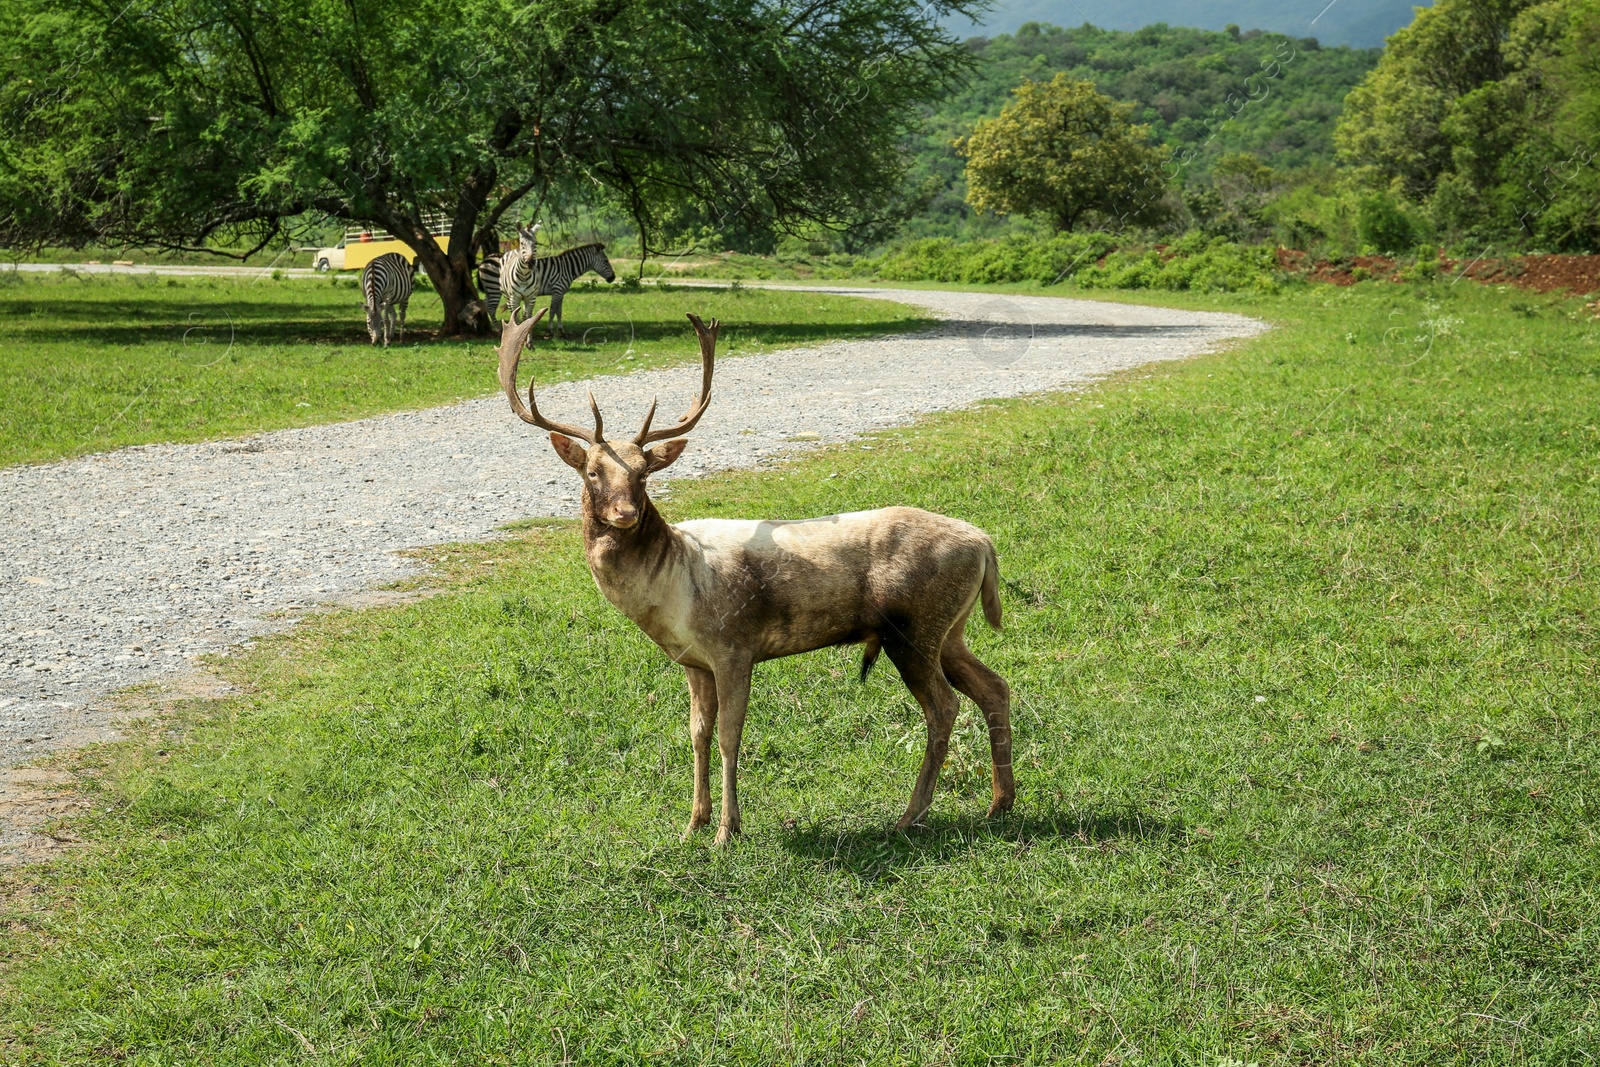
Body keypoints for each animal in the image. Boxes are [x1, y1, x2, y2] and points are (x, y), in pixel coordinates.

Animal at [473, 238, 611, 335]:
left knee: (486, 305)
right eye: (606, 261)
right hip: (494, 288)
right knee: (491, 308)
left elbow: (559, 311)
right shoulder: (557, 289)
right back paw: (499, 331)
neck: (567, 268)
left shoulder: (561, 292)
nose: (613, 278)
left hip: (489, 289)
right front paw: (550, 331)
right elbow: (553, 310)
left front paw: (562, 330)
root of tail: (486, 259)